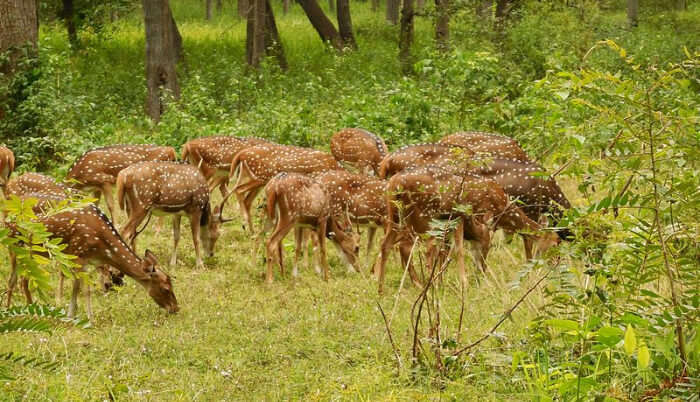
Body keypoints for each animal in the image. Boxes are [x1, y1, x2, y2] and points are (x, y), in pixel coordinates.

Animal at [5, 193, 178, 318]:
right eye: (166, 289)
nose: (176, 308)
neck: (101, 248)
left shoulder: (86, 260)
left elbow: (76, 285)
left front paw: (71, 315)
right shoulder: (79, 253)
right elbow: (85, 288)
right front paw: (89, 318)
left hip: (15, 249)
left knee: (12, 280)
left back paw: (7, 310)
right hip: (29, 249)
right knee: (24, 280)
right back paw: (32, 311)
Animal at [374, 165, 560, 294]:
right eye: (555, 244)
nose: (555, 264)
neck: (502, 207)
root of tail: (395, 183)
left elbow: (446, 251)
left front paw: (442, 281)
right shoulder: (469, 217)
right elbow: (458, 250)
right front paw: (462, 283)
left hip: (395, 215)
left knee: (386, 244)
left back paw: (381, 289)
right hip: (422, 215)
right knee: (415, 247)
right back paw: (425, 285)